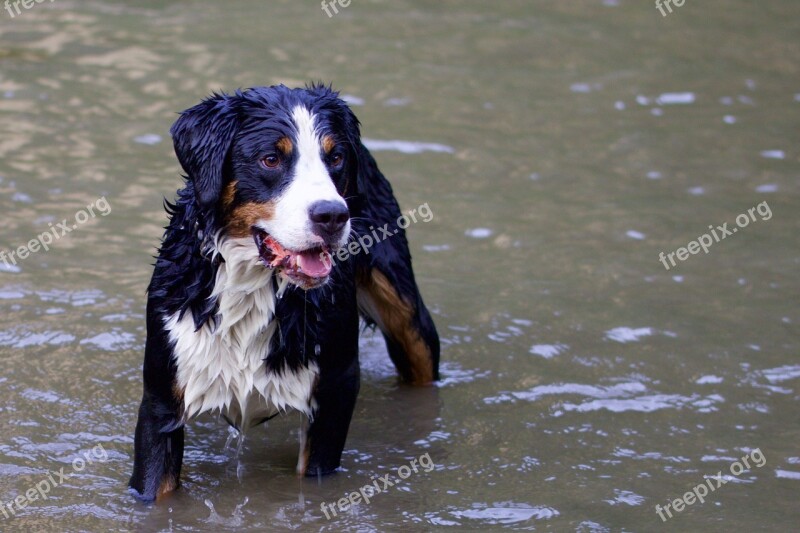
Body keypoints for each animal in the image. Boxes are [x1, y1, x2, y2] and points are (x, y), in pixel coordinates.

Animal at [132, 84, 444, 502]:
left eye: (336, 157)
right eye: (271, 159)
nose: (332, 215)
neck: (253, 288)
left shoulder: (334, 391)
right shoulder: (162, 400)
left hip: (409, 318)